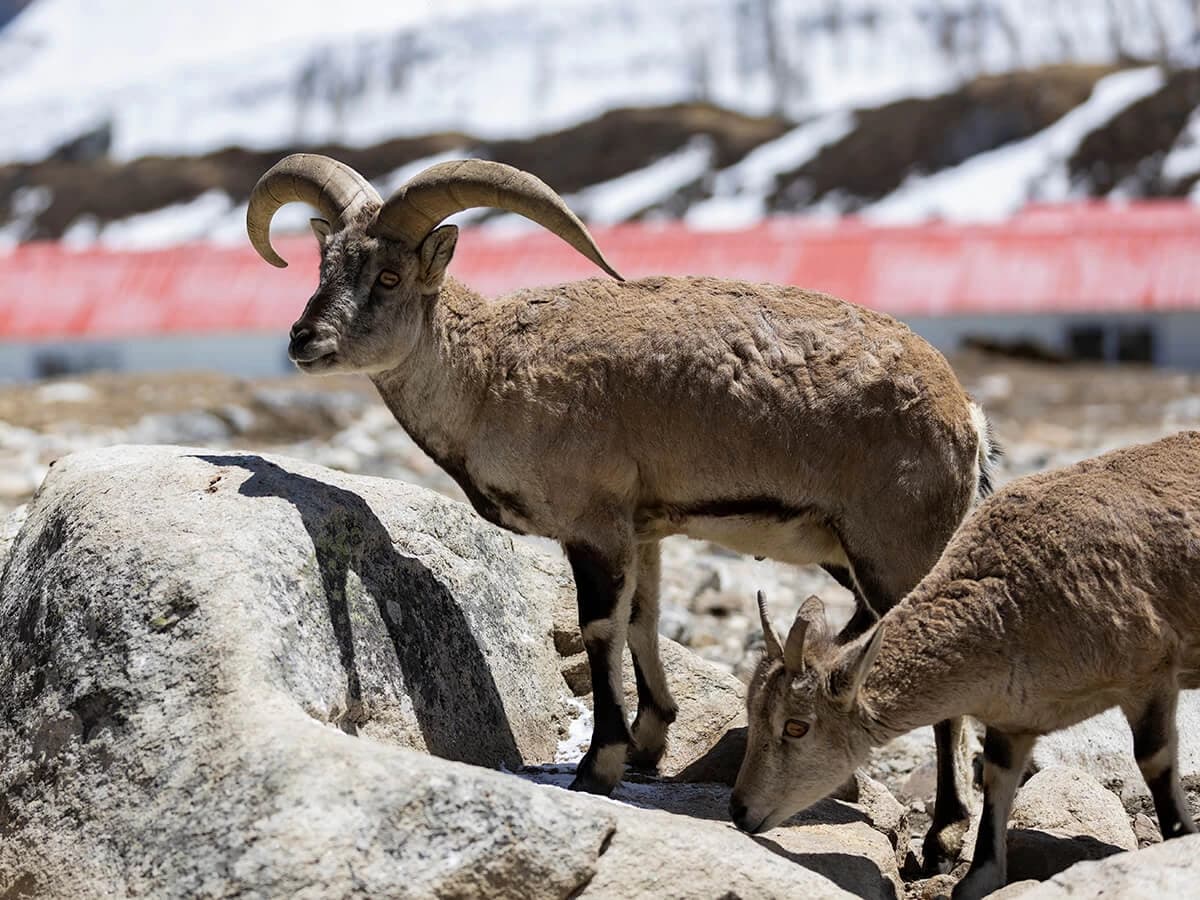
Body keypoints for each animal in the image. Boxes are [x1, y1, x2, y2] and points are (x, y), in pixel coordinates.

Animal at [245, 155, 997, 849]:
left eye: (389, 277)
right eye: (324, 267)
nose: (304, 339)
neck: (489, 374)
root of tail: (966, 415)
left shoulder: (594, 524)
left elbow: (600, 627)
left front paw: (598, 767)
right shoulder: (644, 529)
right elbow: (643, 619)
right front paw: (650, 742)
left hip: (893, 547)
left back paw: (943, 832)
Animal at [731, 431, 1200, 900]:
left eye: (796, 726)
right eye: (752, 711)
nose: (739, 810)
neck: (1015, 604)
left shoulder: (1151, 674)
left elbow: (1154, 758)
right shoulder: (1013, 716)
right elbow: (994, 790)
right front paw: (978, 874)